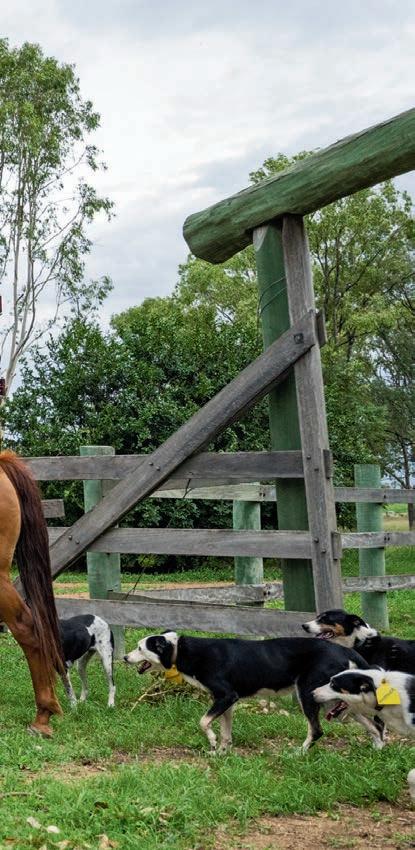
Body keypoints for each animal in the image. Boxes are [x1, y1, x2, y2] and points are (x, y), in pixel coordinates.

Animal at [124, 631, 383, 752]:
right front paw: (221, 752)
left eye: (140, 648)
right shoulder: (227, 701)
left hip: (309, 694)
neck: (183, 649)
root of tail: (342, 650)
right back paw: (378, 749)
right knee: (374, 726)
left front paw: (212, 742)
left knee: (317, 730)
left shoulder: (226, 696)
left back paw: (298, 753)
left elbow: (203, 722)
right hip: (336, 700)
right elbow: (226, 732)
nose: (124, 657)